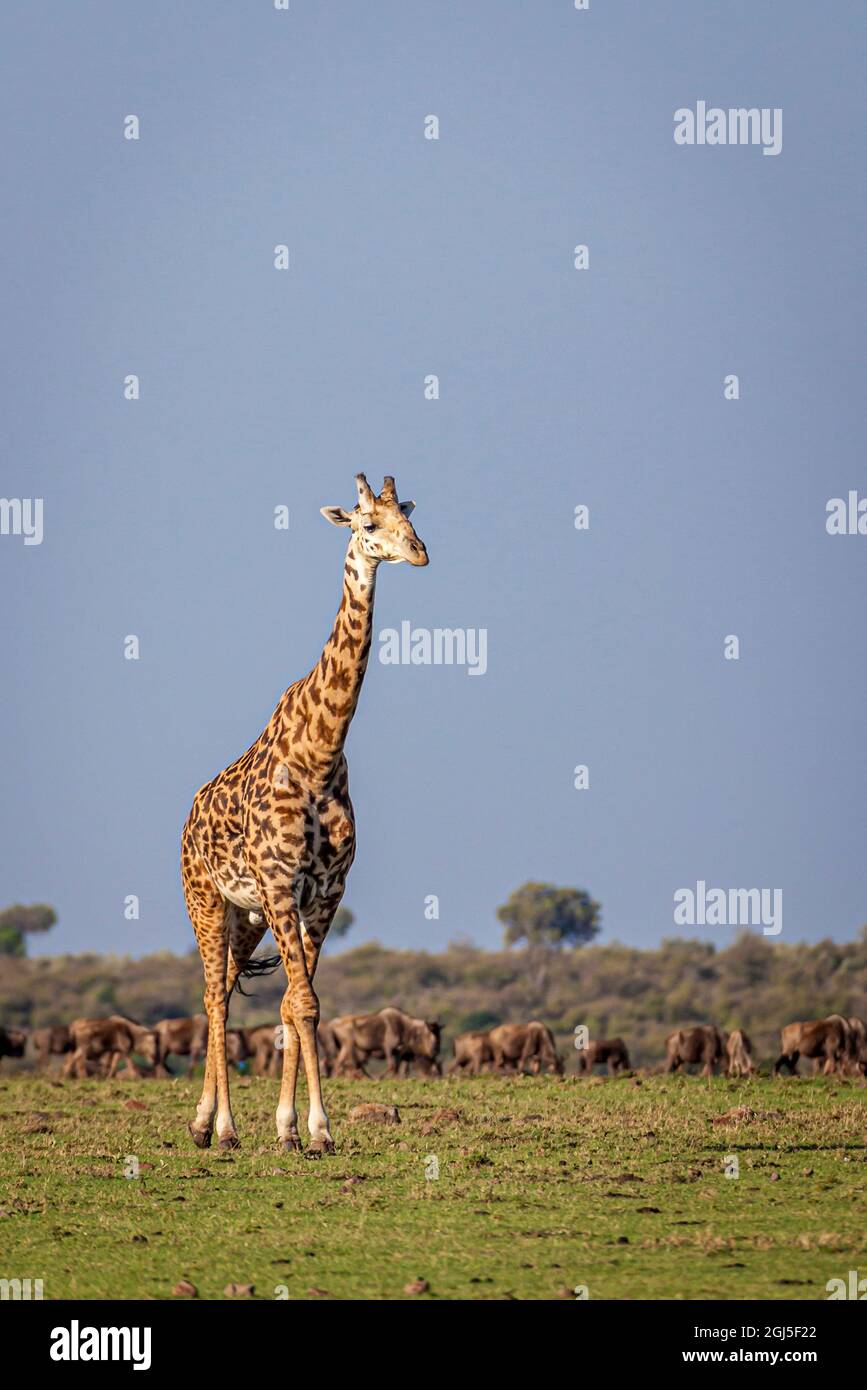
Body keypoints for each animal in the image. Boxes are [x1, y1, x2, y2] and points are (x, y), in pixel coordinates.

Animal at [181, 473, 428, 1153]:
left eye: (409, 518)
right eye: (368, 524)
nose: (420, 552)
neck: (320, 753)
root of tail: (187, 818)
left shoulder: (324, 892)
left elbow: (296, 1004)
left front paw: (295, 1129)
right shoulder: (281, 885)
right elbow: (306, 1003)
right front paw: (316, 1131)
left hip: (246, 916)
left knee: (228, 991)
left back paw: (207, 1123)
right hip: (205, 901)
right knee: (214, 998)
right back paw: (220, 1129)